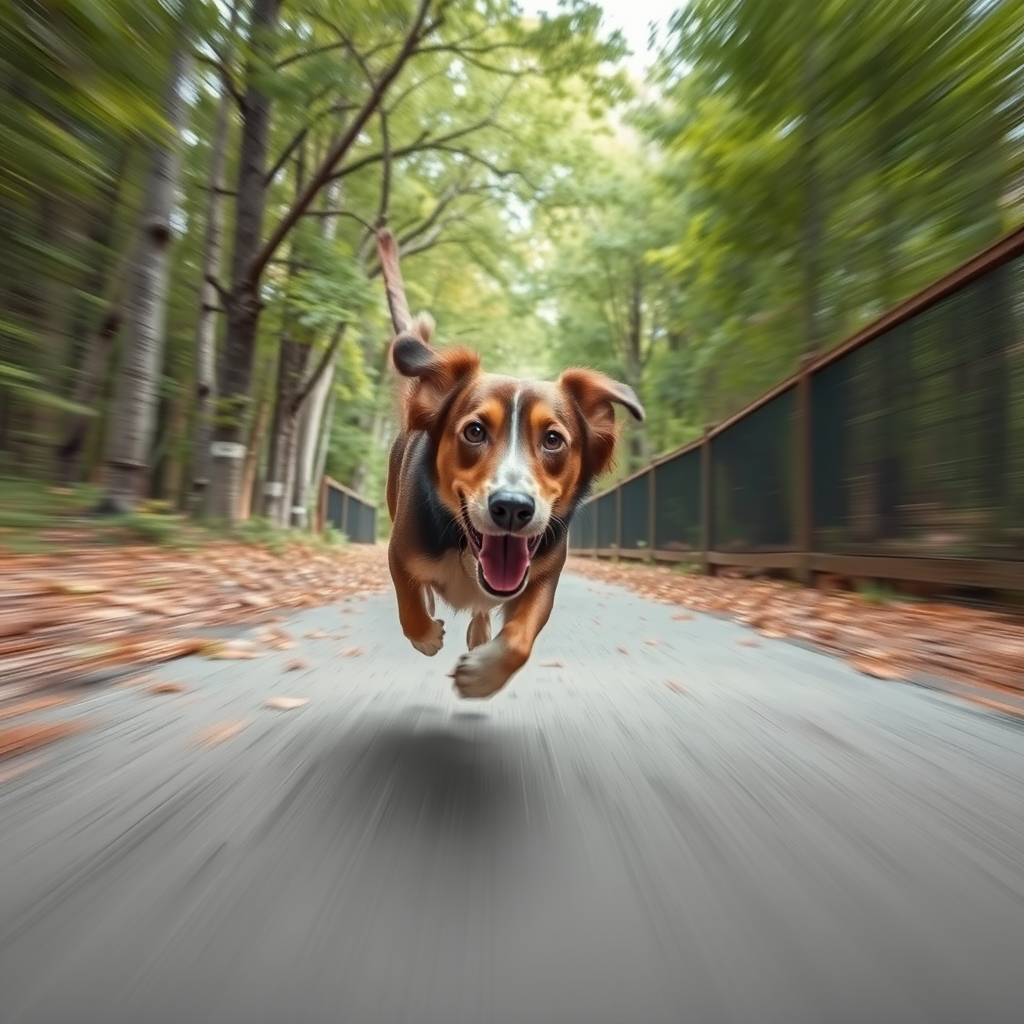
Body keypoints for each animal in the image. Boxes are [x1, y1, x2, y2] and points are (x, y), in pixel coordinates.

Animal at [387, 311, 643, 696]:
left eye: (553, 439)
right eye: (475, 431)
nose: (511, 507)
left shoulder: (543, 578)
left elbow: (520, 639)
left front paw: (482, 676)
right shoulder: (400, 551)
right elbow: (409, 601)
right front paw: (426, 635)